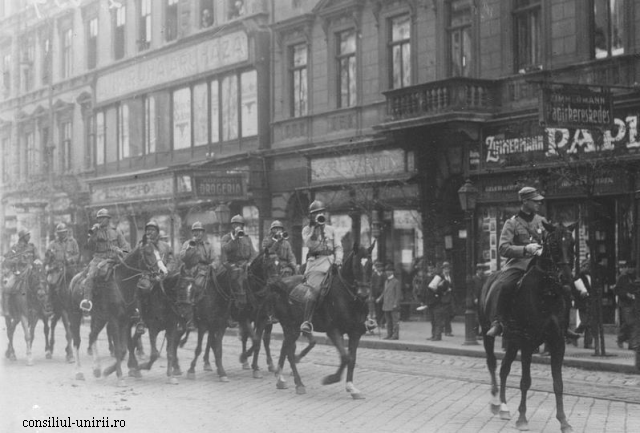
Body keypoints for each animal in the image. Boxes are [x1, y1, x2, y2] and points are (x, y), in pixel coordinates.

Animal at [68, 243, 166, 384]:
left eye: (159, 252)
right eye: (148, 253)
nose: (163, 271)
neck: (122, 283)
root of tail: (75, 279)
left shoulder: (125, 321)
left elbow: (123, 349)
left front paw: (110, 371)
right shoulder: (114, 320)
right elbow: (120, 348)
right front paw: (120, 376)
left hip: (99, 317)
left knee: (92, 335)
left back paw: (97, 369)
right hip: (75, 315)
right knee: (77, 340)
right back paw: (79, 372)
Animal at [268, 241, 372, 396]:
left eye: (371, 264)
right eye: (356, 265)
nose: (364, 294)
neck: (348, 296)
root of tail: (281, 282)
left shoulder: (355, 332)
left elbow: (352, 359)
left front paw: (351, 387)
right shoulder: (333, 331)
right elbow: (345, 357)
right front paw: (331, 379)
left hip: (293, 328)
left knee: (285, 349)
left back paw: (280, 379)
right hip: (290, 326)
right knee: (289, 353)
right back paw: (298, 384)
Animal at [480, 223, 576, 432]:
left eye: (572, 243)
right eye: (554, 243)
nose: (566, 278)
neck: (547, 293)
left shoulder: (557, 342)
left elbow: (558, 383)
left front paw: (564, 421)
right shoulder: (527, 341)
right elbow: (525, 381)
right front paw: (522, 418)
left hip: (512, 340)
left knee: (504, 369)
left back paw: (504, 408)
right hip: (487, 334)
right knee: (492, 363)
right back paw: (496, 403)